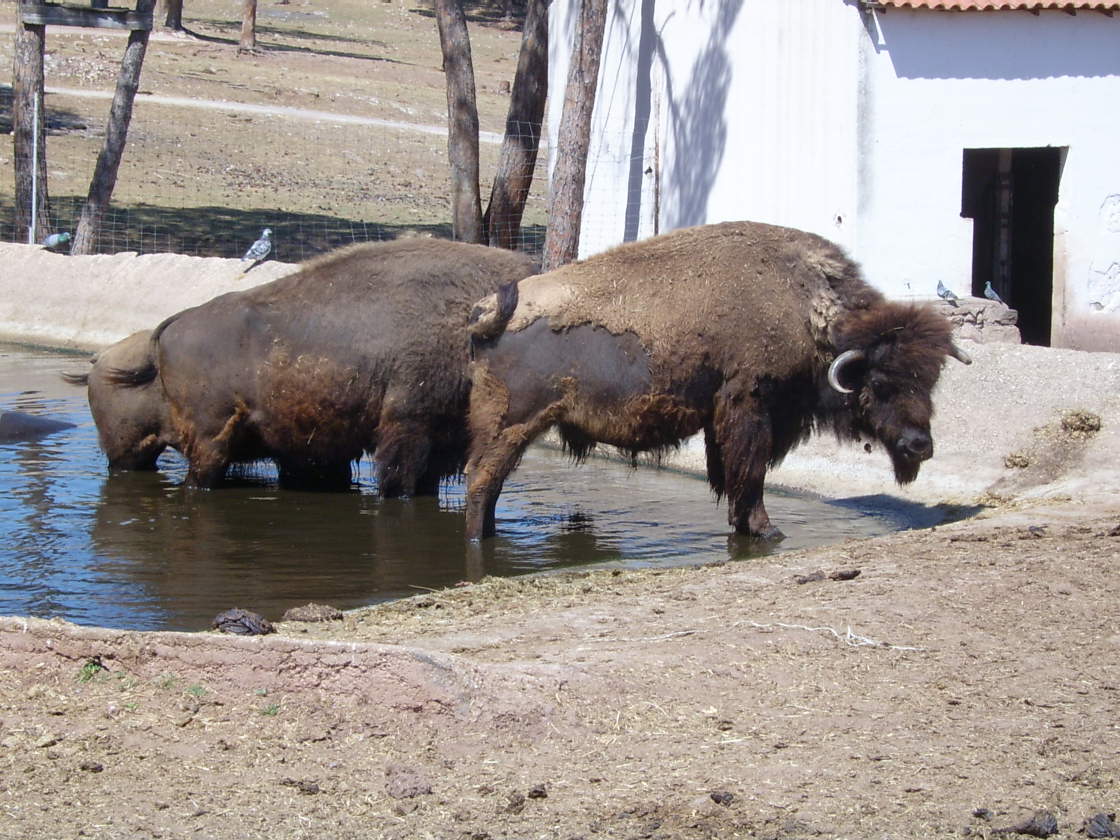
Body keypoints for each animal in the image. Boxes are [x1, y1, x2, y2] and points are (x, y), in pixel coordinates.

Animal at [463, 221, 972, 539]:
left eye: (930, 382)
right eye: (880, 383)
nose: (919, 446)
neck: (807, 306)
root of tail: (489, 310)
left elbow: (736, 475)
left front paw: (748, 525)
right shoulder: (751, 407)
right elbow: (750, 472)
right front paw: (766, 529)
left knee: (488, 484)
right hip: (512, 424)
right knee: (481, 480)